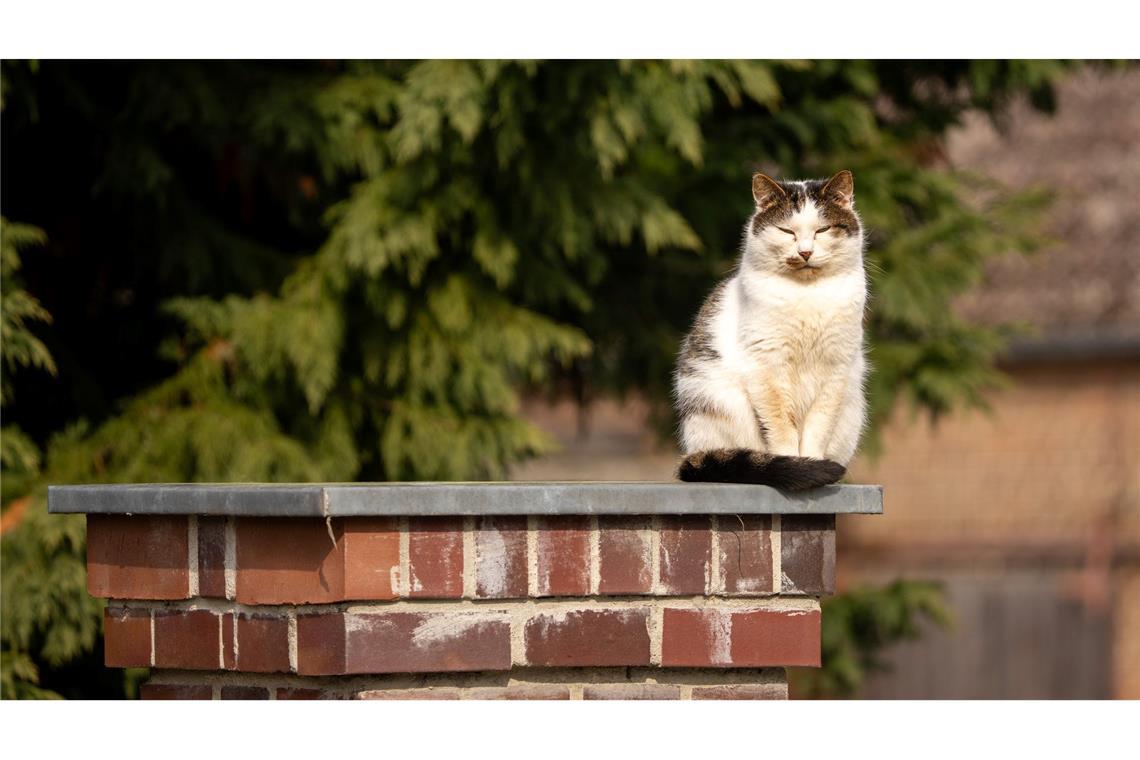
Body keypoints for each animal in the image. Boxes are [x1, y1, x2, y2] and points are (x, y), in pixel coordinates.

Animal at [670, 169, 866, 489]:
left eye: (822, 230)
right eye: (786, 231)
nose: (805, 252)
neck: (806, 295)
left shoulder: (835, 369)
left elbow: (818, 426)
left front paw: (813, 463)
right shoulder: (766, 367)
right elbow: (780, 426)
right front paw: (798, 466)